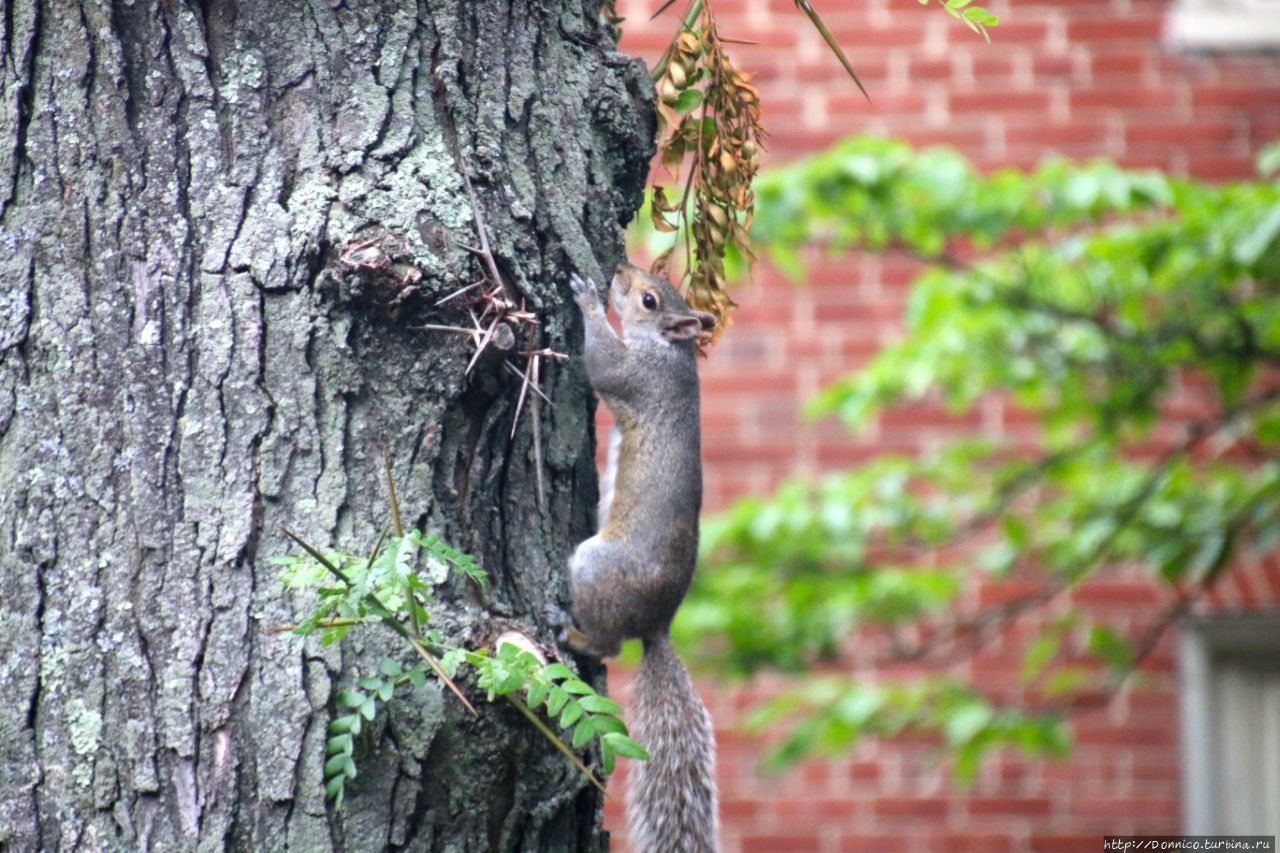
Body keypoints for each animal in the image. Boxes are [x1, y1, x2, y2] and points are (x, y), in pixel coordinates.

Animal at [568, 262, 727, 845]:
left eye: (649, 300)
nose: (618, 268)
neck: (670, 353)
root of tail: (658, 623)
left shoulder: (635, 377)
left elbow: (601, 364)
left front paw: (587, 301)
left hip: (594, 569)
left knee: (611, 646)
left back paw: (575, 634)